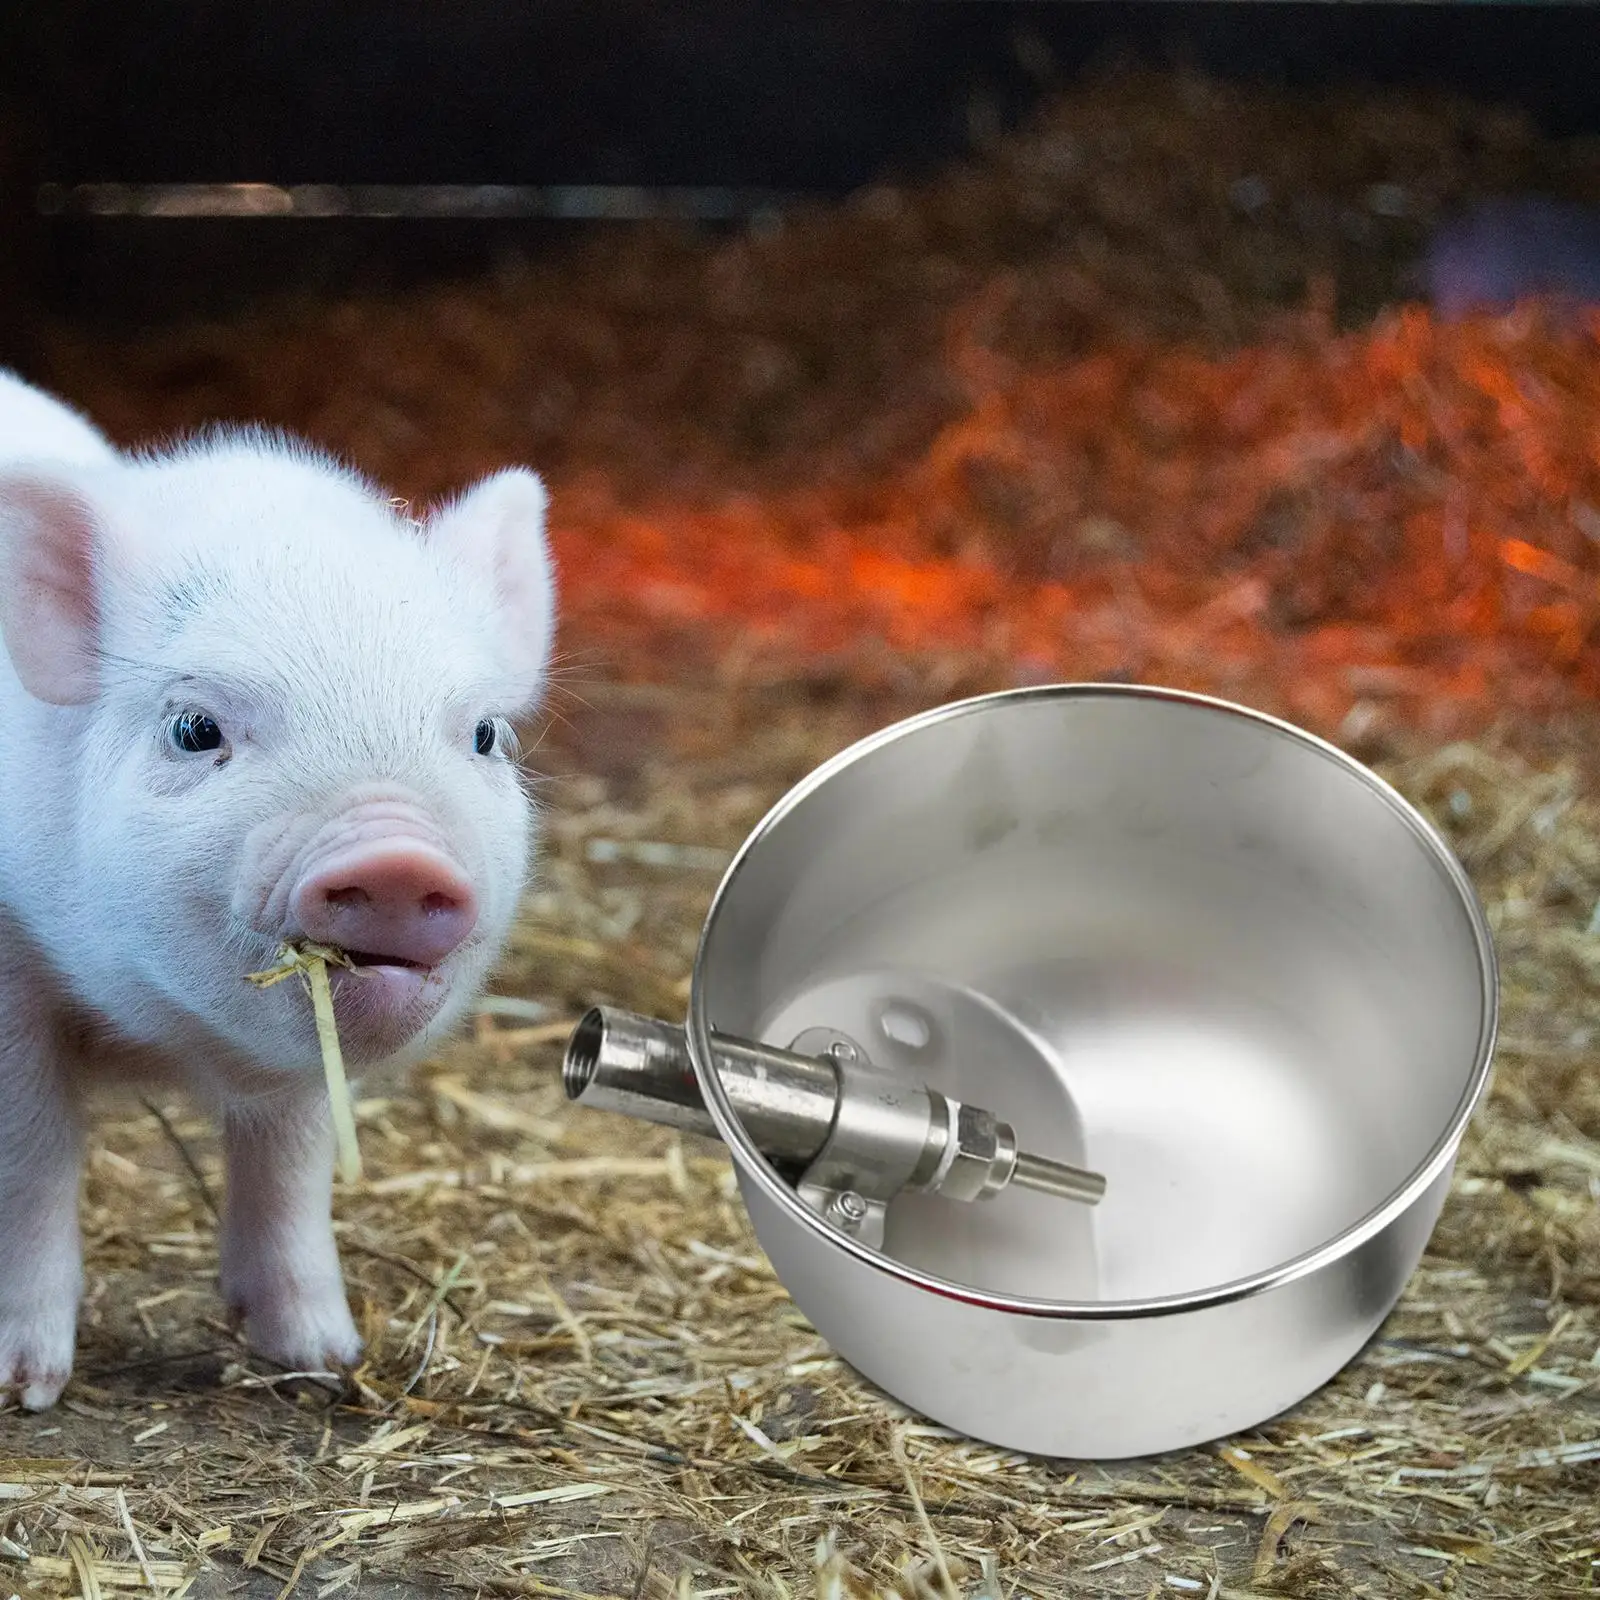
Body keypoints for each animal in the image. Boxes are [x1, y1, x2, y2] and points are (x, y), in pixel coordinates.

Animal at [0, 369, 555, 1409]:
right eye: (193, 729)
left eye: (484, 735)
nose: (396, 858)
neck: (158, 1041)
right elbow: (34, 1155)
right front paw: (26, 1388)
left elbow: (291, 1165)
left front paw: (325, 1362)